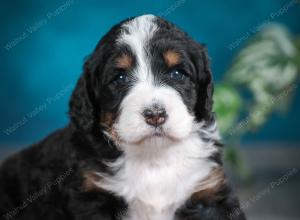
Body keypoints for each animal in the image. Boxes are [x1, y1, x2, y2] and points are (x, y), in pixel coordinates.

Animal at [0, 14, 246, 219]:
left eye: (177, 73)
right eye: (119, 78)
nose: (155, 114)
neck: (153, 158)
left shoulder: (208, 192)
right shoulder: (91, 195)